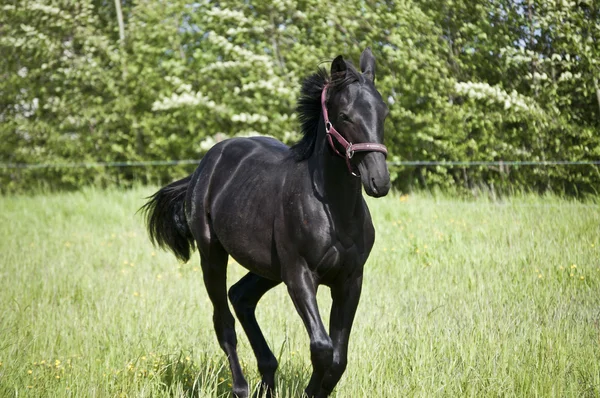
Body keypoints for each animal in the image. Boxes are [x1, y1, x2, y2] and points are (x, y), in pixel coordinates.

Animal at [143, 48, 392, 396]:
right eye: (345, 116)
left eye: (383, 113)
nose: (378, 180)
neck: (334, 212)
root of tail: (206, 165)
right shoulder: (300, 276)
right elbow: (322, 348)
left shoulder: (350, 279)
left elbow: (338, 359)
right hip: (213, 255)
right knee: (224, 322)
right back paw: (242, 387)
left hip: (267, 267)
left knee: (241, 296)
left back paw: (267, 376)